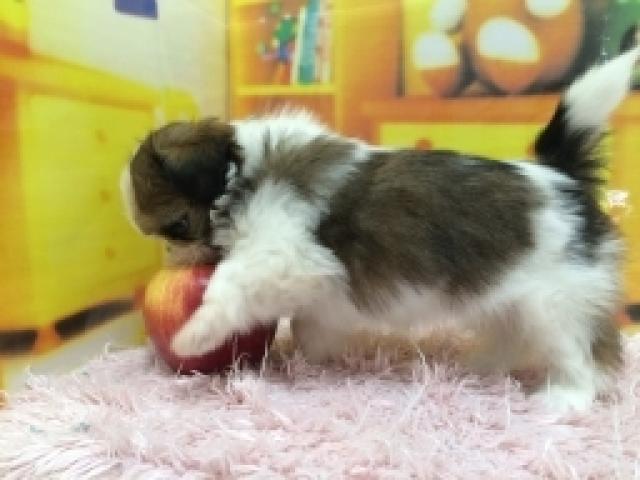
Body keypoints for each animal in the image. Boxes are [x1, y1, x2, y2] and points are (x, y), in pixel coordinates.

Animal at [121, 47, 639, 411]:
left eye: (178, 225)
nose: (175, 258)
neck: (244, 171)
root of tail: (561, 175)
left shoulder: (285, 251)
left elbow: (229, 285)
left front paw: (195, 333)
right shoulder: (315, 279)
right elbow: (309, 320)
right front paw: (310, 356)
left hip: (557, 302)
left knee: (585, 353)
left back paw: (566, 399)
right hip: (511, 298)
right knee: (511, 332)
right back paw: (483, 366)